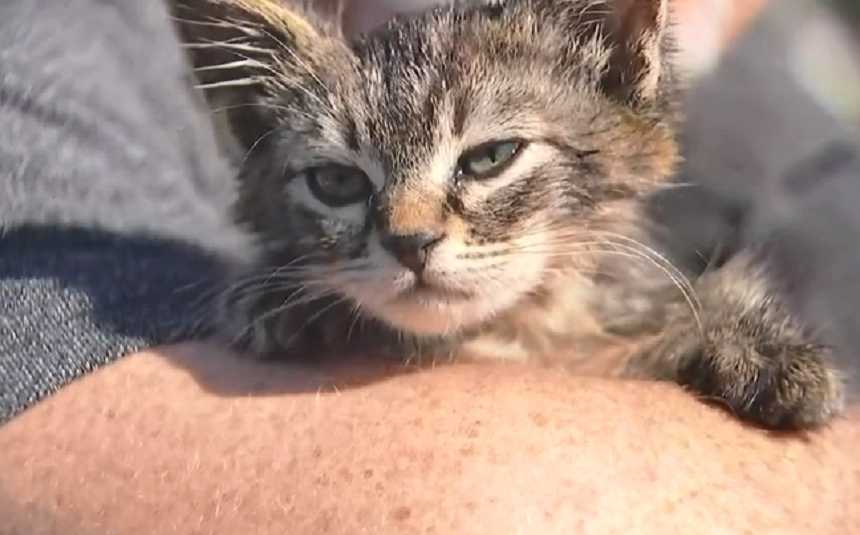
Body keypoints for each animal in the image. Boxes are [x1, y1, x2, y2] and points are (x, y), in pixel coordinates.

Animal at [171, 0, 844, 430]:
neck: (509, 334)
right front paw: (287, 302)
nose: (410, 242)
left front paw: (758, 345)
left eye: (491, 158)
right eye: (336, 183)